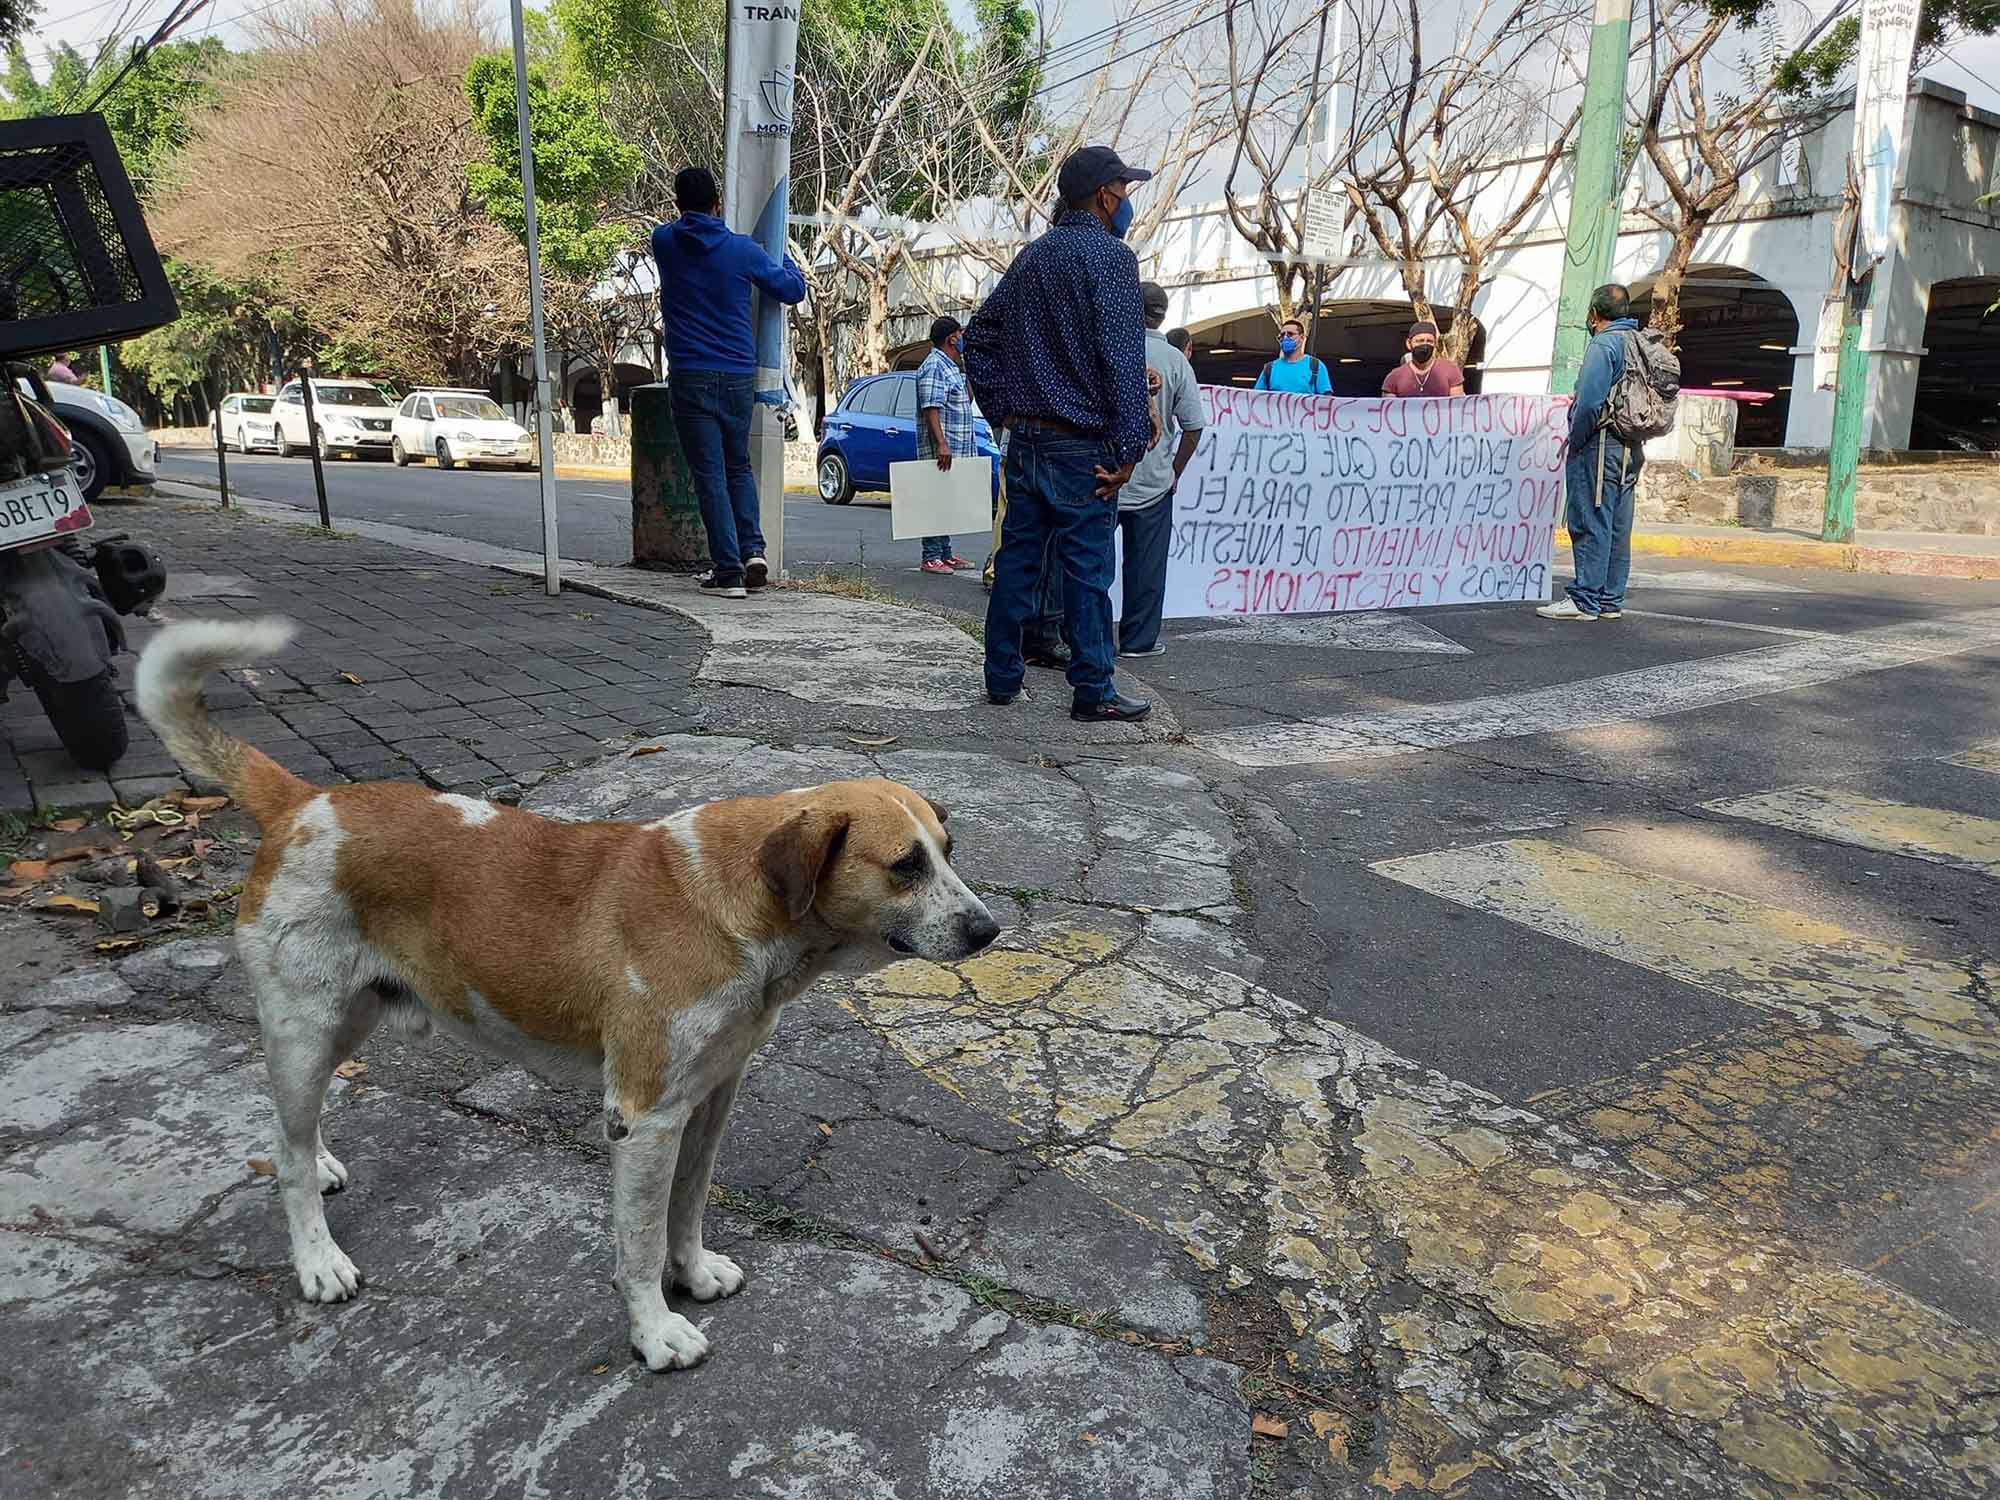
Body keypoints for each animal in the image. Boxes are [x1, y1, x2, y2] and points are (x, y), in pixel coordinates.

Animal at [135, 612, 1000, 1376]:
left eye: (948, 850)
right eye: (906, 866)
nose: (989, 931)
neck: (733, 903)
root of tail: (304, 802)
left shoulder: (711, 1098)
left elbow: (688, 1205)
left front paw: (693, 1273)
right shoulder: (644, 1119)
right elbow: (639, 1243)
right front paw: (656, 1330)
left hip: (351, 1016)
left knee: (296, 1128)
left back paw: (319, 1164)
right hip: (303, 1027)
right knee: (281, 1148)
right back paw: (317, 1258)